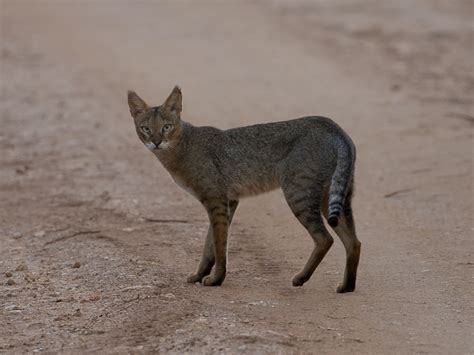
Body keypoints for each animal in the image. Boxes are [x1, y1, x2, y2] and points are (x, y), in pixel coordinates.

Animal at [126, 85, 360, 292]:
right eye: (145, 129)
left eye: (166, 127)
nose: (156, 142)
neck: (180, 149)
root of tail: (332, 125)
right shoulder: (228, 200)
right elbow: (209, 244)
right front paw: (201, 274)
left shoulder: (217, 199)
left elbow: (219, 244)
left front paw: (216, 279)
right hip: (333, 197)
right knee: (354, 242)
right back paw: (347, 287)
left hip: (298, 194)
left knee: (325, 238)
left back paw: (301, 278)